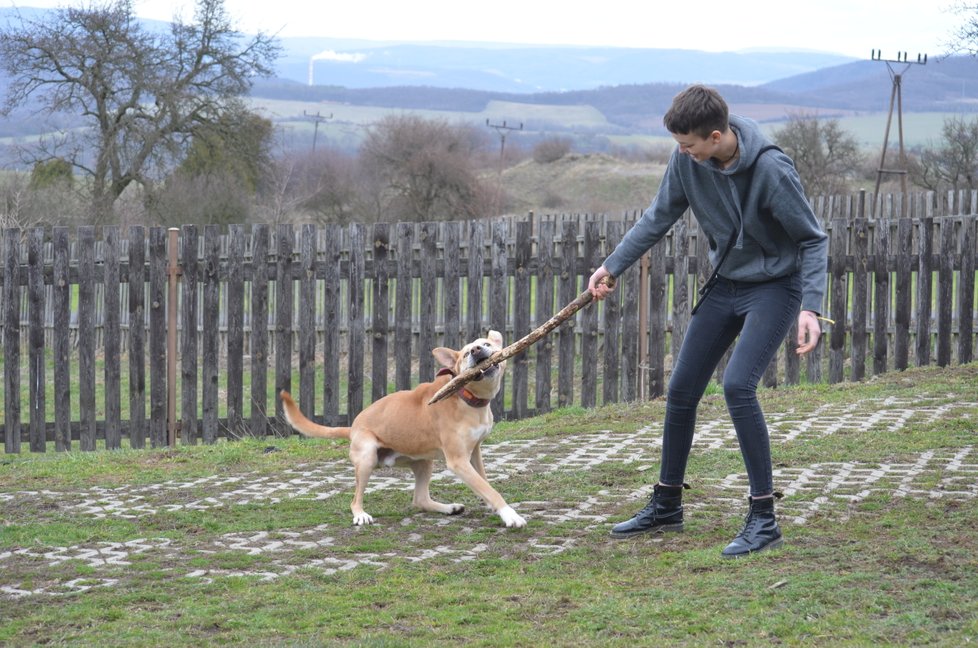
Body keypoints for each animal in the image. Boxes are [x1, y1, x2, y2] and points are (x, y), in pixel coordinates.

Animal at [278, 332, 528, 528]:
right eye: (466, 353)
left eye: (486, 343)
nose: (476, 350)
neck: (466, 398)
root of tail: (353, 426)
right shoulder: (458, 461)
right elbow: (489, 489)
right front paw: (510, 515)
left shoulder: (474, 451)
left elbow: (484, 481)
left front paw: (492, 506)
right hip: (367, 456)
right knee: (356, 499)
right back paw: (360, 515)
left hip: (424, 462)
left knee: (420, 499)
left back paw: (448, 508)